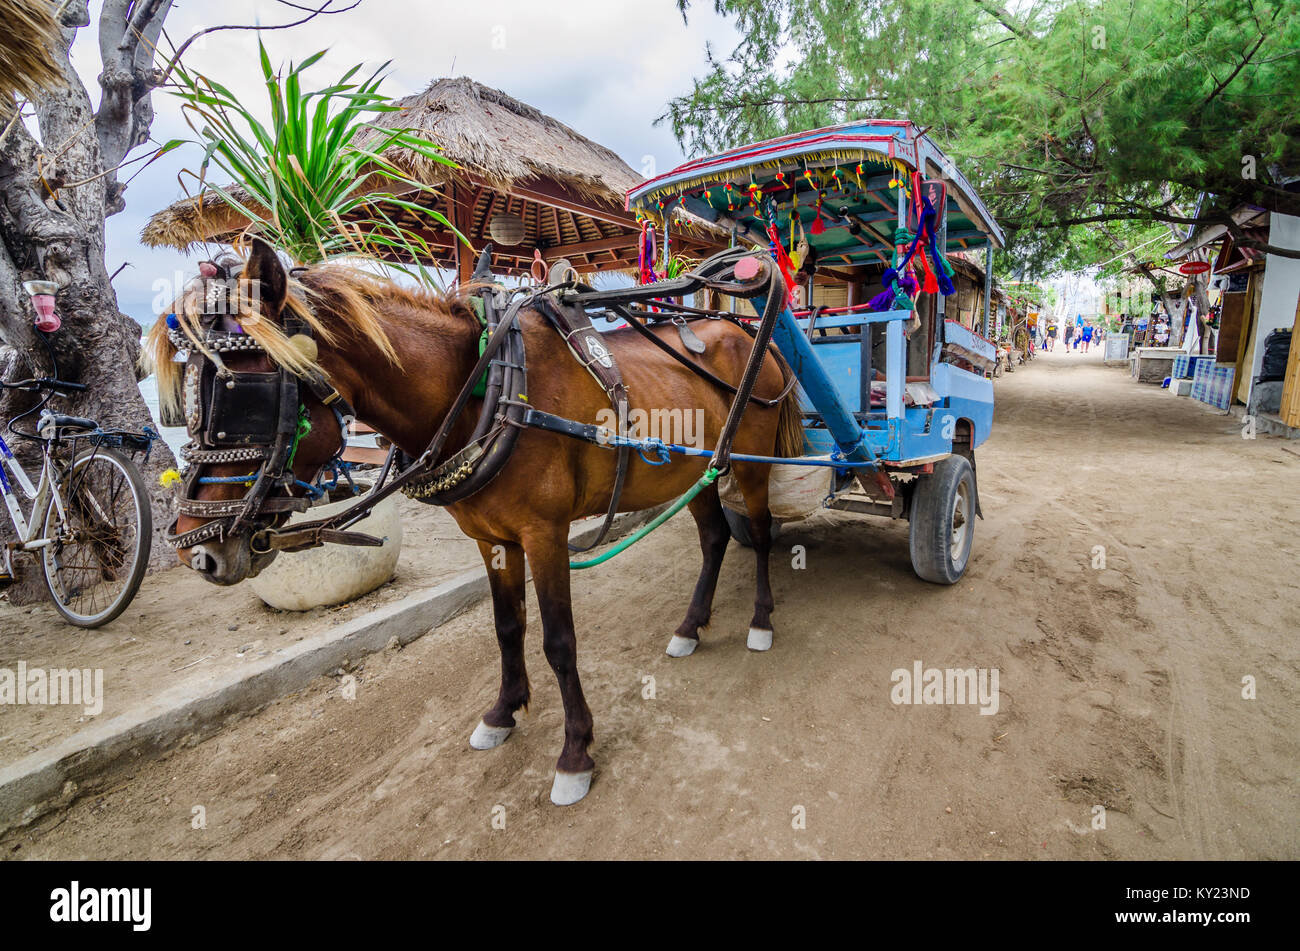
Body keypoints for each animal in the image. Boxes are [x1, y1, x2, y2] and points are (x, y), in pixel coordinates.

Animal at [149, 241, 800, 805]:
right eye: (189, 401)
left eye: (241, 394)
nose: (195, 551)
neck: (487, 388)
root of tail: (746, 332)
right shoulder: (491, 539)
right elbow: (506, 628)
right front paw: (503, 712)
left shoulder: (545, 535)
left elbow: (558, 640)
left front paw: (575, 753)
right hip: (697, 471)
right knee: (715, 538)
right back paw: (691, 627)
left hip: (752, 462)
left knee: (762, 534)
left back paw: (762, 620)